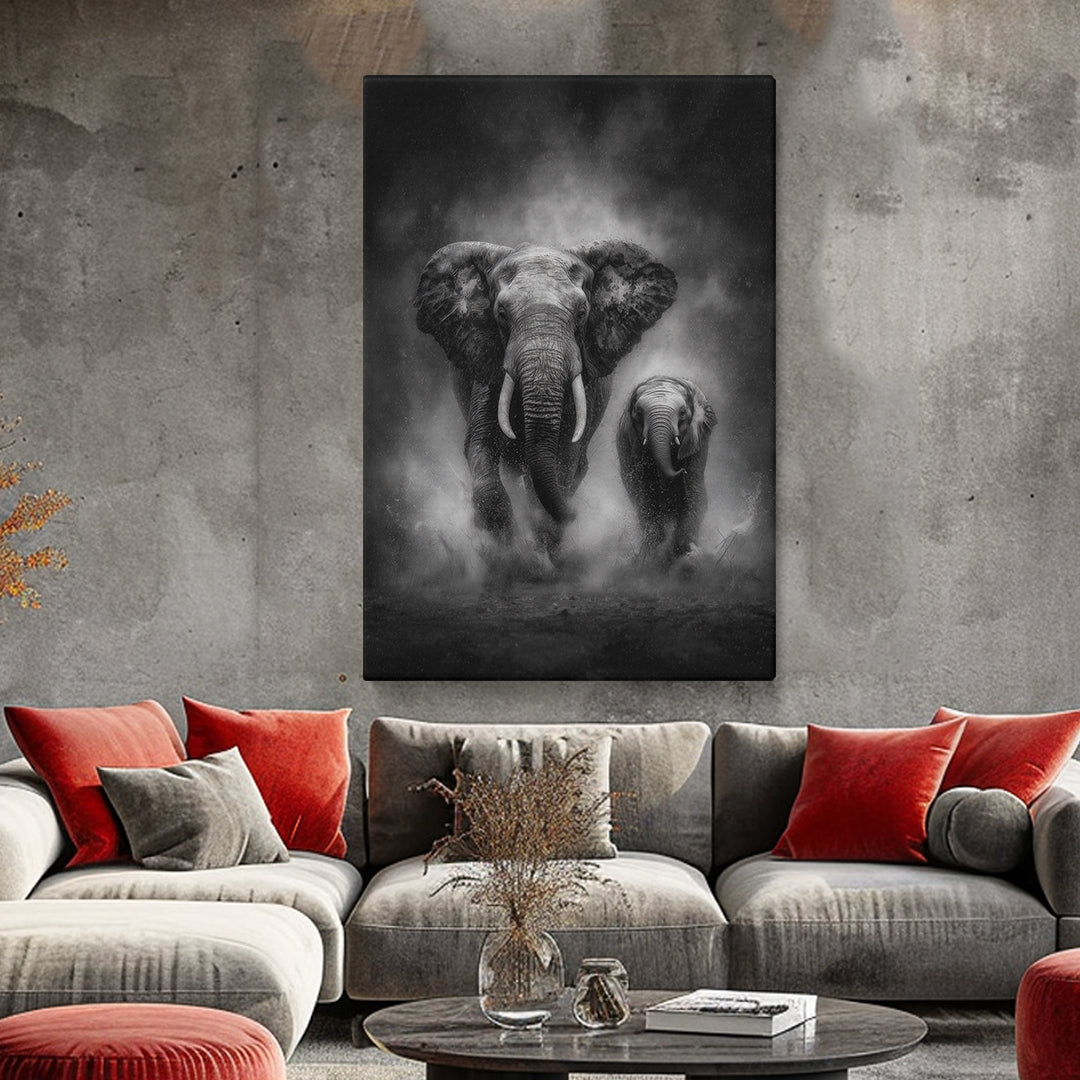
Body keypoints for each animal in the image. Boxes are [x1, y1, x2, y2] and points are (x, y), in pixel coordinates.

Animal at [414, 240, 677, 554]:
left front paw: (542, 546)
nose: (576, 515)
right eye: (501, 314)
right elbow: (480, 445)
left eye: (581, 314)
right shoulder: (487, 366)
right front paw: (504, 548)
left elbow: (564, 457)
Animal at [617, 375, 716, 564]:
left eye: (683, 412)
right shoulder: (632, 446)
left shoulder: (698, 443)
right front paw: (651, 555)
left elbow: (695, 494)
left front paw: (685, 554)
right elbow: (645, 497)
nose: (681, 471)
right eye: (638, 412)